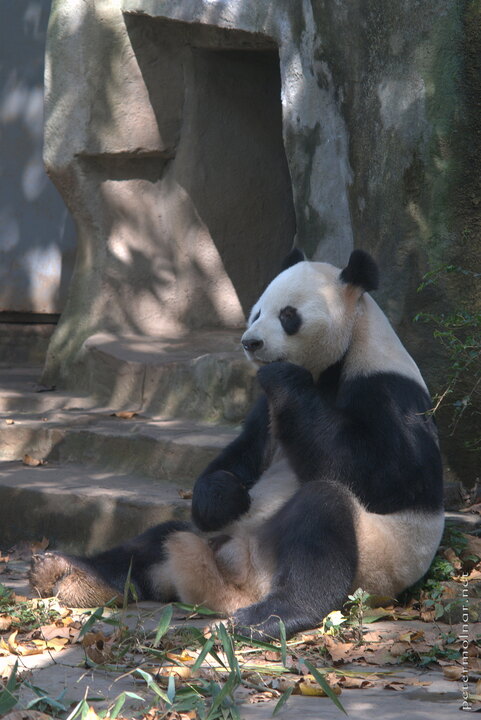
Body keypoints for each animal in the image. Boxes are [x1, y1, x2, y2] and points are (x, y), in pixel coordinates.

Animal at [29, 250, 442, 640]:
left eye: (288, 315)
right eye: (256, 311)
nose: (251, 343)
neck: (337, 360)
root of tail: (235, 585)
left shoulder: (387, 388)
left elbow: (387, 475)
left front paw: (284, 375)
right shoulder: (266, 412)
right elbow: (244, 454)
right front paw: (223, 495)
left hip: (372, 561)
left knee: (324, 515)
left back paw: (269, 617)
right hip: (217, 537)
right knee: (155, 541)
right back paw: (70, 573)